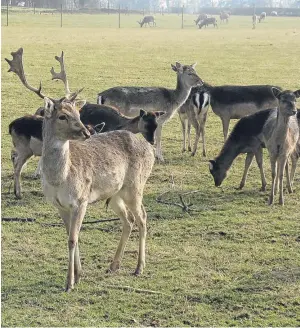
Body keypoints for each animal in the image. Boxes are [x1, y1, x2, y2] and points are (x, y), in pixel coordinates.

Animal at [5, 47, 156, 290]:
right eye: (62, 115)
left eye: (78, 113)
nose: (85, 132)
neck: (60, 179)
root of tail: (149, 148)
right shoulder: (58, 205)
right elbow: (70, 235)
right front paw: (79, 274)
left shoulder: (81, 200)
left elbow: (73, 238)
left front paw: (69, 283)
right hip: (115, 193)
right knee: (128, 220)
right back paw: (113, 265)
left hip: (135, 186)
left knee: (142, 217)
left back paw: (139, 268)